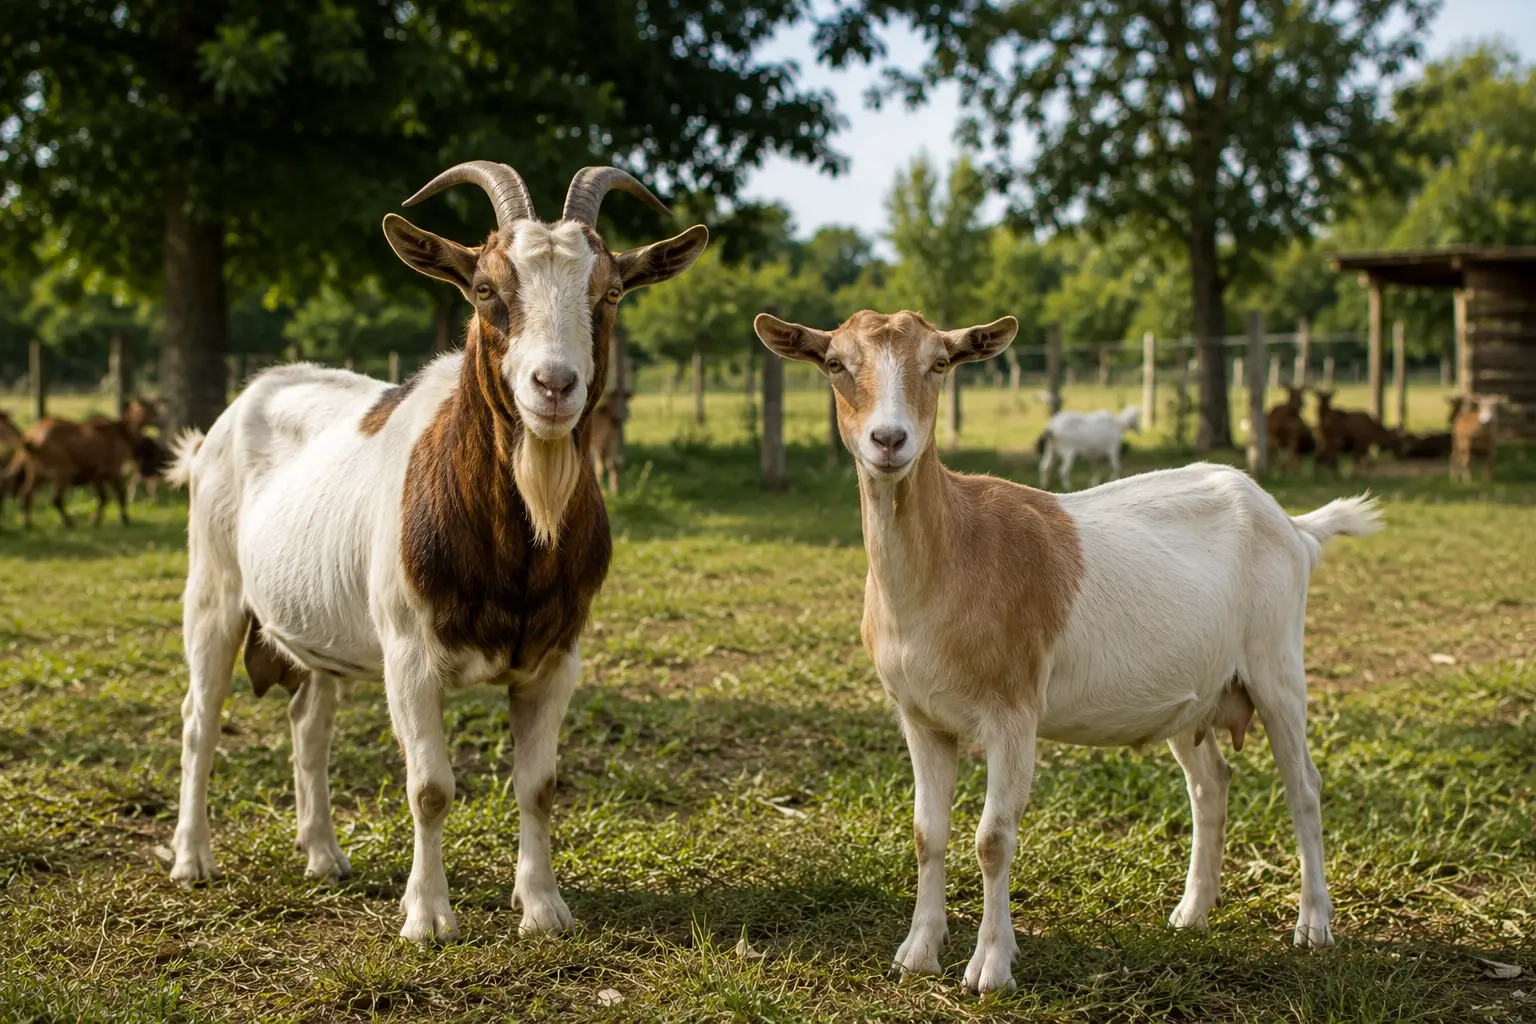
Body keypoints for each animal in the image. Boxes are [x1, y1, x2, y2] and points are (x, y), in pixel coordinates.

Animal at [8, 398, 158, 527]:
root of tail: (32, 439)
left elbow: (103, 498)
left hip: (35, 472)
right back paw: (69, 523)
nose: (158, 419)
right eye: (150, 409)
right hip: (62, 471)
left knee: (25, 494)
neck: (122, 433)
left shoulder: (97, 476)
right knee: (55, 499)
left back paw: (27, 523)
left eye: (155, 408)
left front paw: (95, 521)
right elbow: (121, 493)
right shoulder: (113, 469)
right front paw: (124, 520)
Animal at [166, 161, 708, 942]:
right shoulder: (409, 654)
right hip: (212, 586)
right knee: (199, 718)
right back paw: (192, 859)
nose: (555, 386)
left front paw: (543, 908)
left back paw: (323, 854)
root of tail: (248, 396)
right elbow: (430, 787)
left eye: (609, 292)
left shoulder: (557, 658)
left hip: (318, 630)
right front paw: (427, 917)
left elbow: (539, 786)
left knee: (309, 726)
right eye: (485, 289)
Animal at [756, 308, 1380, 995]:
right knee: (1210, 782)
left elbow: (993, 838)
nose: (889, 440)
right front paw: (917, 953)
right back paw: (1192, 911)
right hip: (1197, 694)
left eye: (939, 363)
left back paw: (1312, 925)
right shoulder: (919, 716)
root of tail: (1293, 525)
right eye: (835, 364)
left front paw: (990, 968)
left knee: (1304, 786)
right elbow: (927, 834)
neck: (950, 561)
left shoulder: (1013, 710)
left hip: (1277, 664)